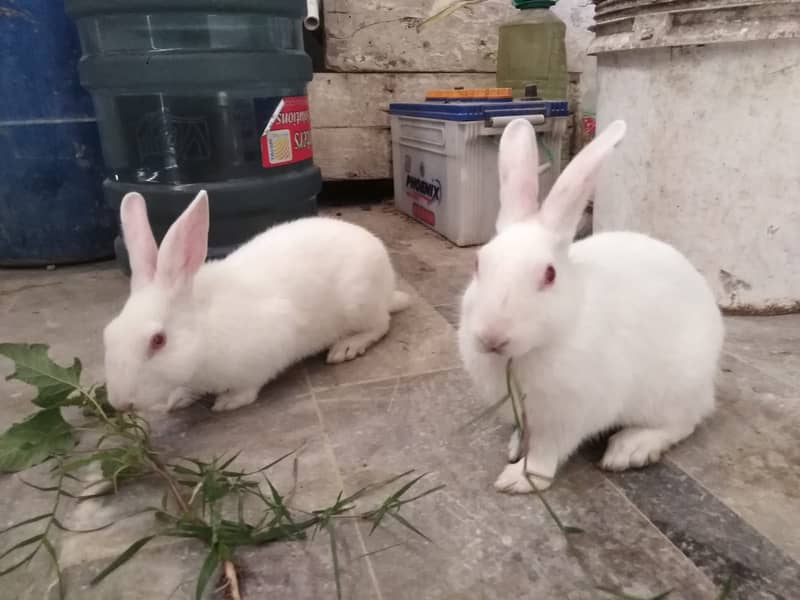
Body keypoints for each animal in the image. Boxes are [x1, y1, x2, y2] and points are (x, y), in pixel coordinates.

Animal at [103, 190, 410, 413]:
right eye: (108, 333)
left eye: (158, 341)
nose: (119, 403)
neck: (204, 331)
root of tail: (388, 282)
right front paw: (179, 399)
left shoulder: (268, 346)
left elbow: (249, 386)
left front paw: (227, 402)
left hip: (358, 301)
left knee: (380, 325)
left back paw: (346, 347)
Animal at [458, 118, 724, 493]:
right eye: (478, 262)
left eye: (550, 274)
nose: (492, 337)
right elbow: (525, 437)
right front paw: (513, 449)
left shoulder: (568, 416)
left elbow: (546, 452)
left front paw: (518, 480)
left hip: (672, 389)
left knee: (686, 421)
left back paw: (630, 450)